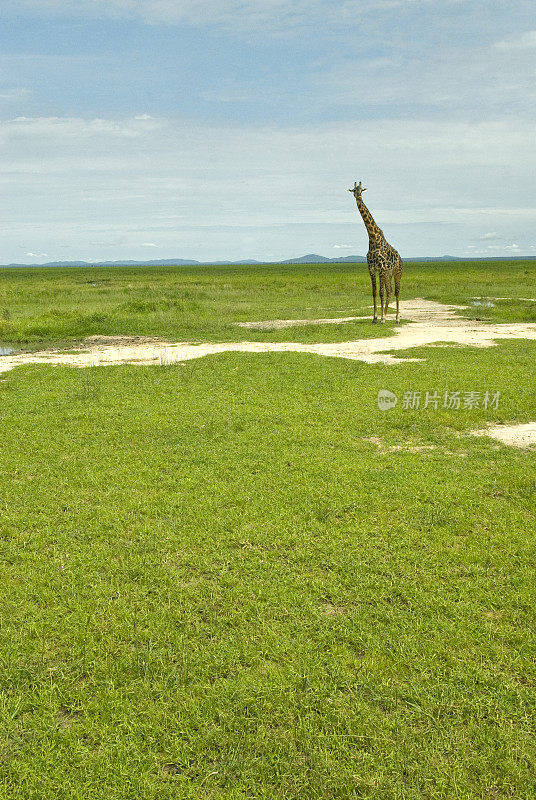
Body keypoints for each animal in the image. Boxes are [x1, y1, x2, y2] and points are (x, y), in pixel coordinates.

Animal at [348, 182, 402, 324]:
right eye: (354, 190)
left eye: (362, 190)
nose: (358, 196)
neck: (373, 239)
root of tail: (400, 258)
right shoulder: (372, 269)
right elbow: (375, 292)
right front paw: (375, 317)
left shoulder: (381, 269)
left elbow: (381, 292)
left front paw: (382, 318)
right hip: (388, 274)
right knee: (390, 291)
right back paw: (387, 315)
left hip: (397, 272)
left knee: (396, 292)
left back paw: (396, 318)